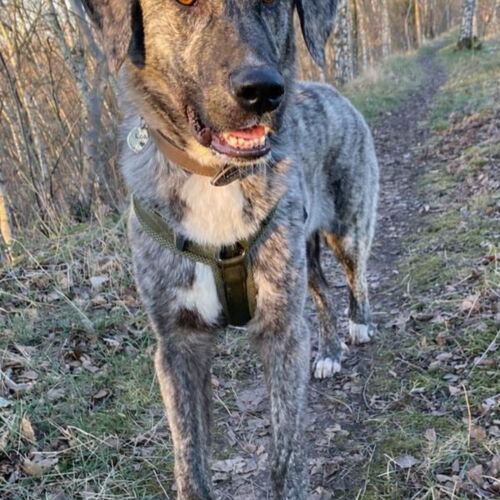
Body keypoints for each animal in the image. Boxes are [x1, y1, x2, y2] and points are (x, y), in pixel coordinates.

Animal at [81, 1, 378, 498]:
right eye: (185, 4)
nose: (263, 91)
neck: (214, 175)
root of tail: (330, 90)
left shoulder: (281, 332)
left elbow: (286, 456)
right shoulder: (178, 346)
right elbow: (191, 461)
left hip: (347, 229)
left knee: (356, 277)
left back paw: (358, 326)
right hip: (304, 257)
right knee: (321, 291)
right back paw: (330, 351)